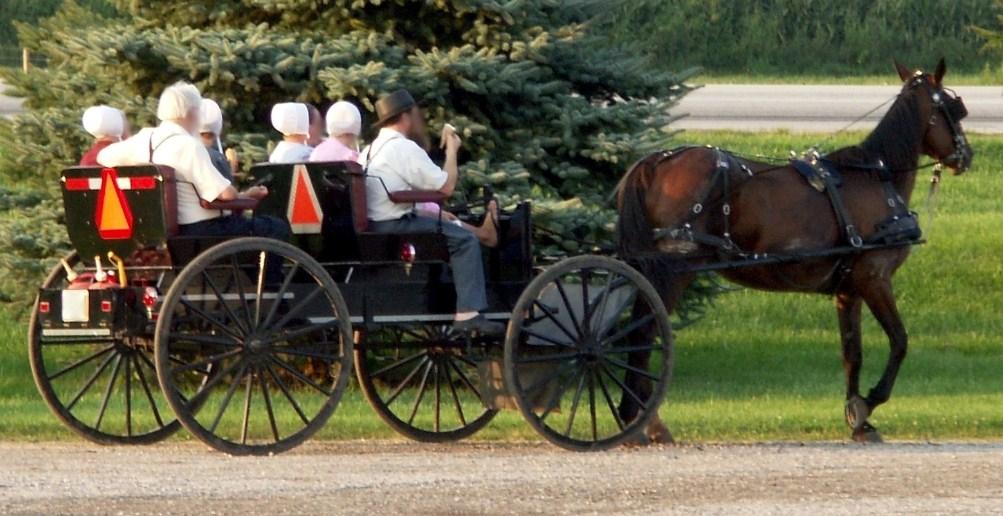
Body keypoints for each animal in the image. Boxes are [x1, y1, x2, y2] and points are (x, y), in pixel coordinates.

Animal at [613, 58, 974, 439]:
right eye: (953, 109)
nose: (967, 155)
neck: (877, 177)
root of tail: (657, 162)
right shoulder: (874, 278)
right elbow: (899, 341)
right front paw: (870, 401)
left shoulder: (848, 289)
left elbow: (852, 353)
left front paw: (858, 418)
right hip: (674, 269)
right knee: (644, 334)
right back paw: (645, 421)